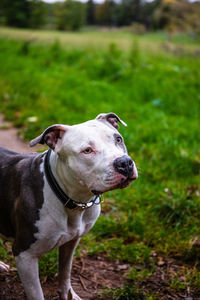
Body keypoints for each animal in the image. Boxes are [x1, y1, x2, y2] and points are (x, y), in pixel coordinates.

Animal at [0, 113, 138, 300]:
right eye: (87, 150)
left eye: (118, 139)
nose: (125, 163)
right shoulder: (24, 255)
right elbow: (36, 293)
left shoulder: (71, 241)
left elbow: (65, 271)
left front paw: (68, 294)